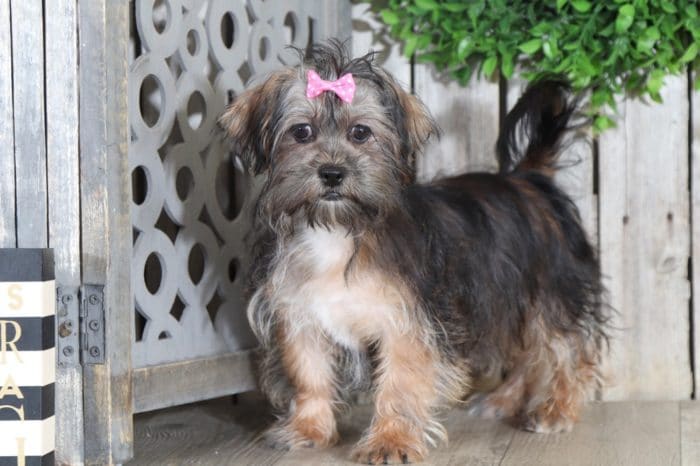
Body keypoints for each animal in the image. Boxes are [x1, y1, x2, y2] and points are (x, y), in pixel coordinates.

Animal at [220, 41, 608, 464]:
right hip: (504, 301)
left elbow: (400, 383)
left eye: (360, 132)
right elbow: (309, 374)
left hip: (548, 293)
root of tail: (529, 179)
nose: (332, 173)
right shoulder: (301, 316)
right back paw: (503, 400)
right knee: (522, 353)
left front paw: (391, 441)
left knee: (568, 350)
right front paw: (310, 429)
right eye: (301, 132)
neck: (338, 227)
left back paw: (557, 409)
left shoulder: (406, 322)